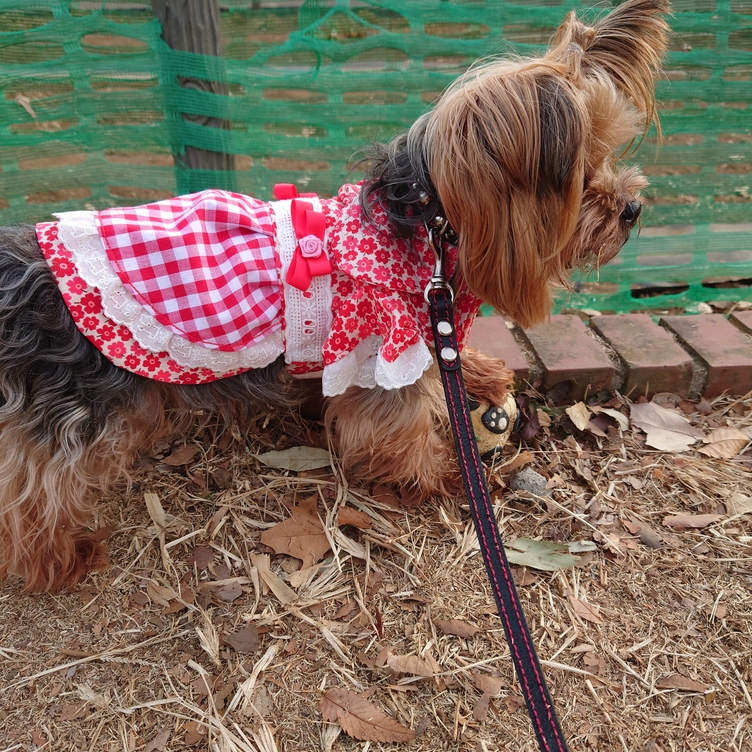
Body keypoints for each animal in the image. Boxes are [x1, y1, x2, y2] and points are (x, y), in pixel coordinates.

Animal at [0, 0, 668, 592]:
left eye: (610, 154)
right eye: (581, 176)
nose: (633, 207)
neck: (422, 225)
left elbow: (439, 363)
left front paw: (478, 371)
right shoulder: (383, 350)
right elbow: (399, 427)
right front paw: (446, 473)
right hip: (79, 411)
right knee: (35, 485)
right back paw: (56, 560)